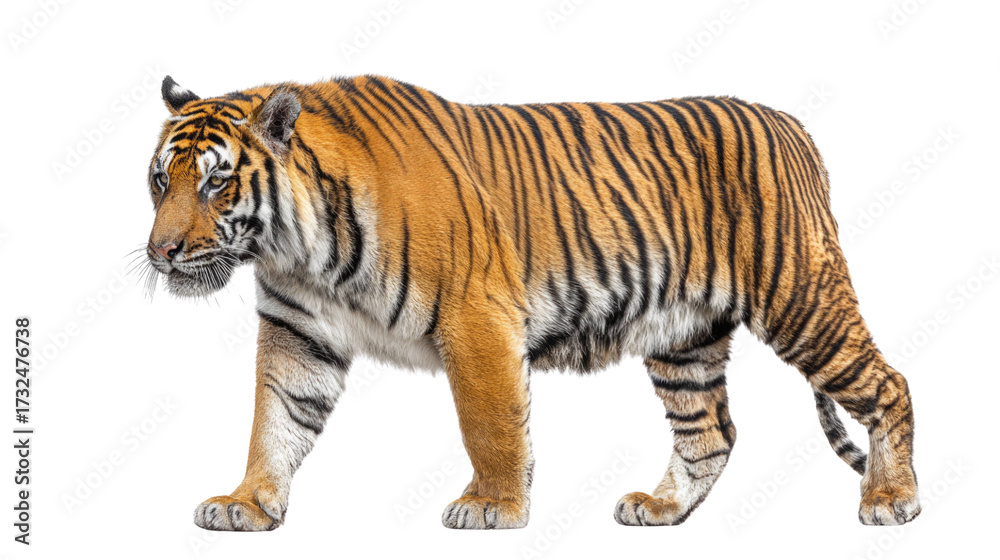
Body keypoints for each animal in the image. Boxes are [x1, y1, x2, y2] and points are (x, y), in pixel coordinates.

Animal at [144, 74, 920, 531]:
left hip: (800, 299)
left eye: (215, 183)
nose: (163, 253)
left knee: (888, 383)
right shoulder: (298, 332)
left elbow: (490, 424)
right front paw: (246, 504)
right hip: (685, 337)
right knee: (709, 433)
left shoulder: (475, 318)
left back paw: (891, 501)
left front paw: (492, 506)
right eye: (160, 181)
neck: (299, 250)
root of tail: (790, 123)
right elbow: (274, 419)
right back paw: (661, 508)